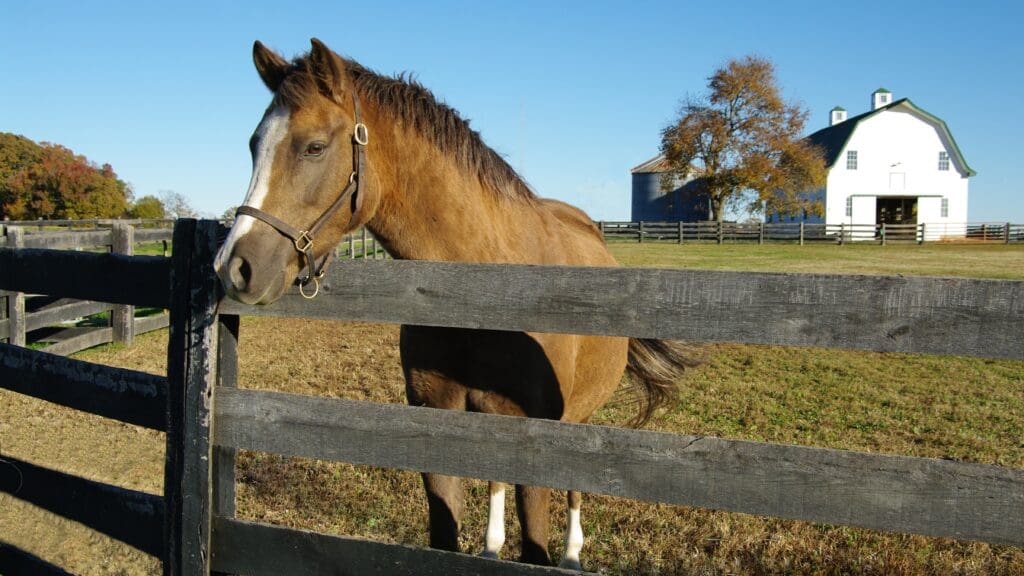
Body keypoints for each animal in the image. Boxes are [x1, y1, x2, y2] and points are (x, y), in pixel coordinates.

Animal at [215, 38, 696, 565]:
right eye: (254, 146)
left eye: (314, 146)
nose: (234, 267)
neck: (484, 291)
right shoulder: (438, 425)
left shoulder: (538, 444)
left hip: (577, 417)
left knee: (573, 487)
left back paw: (572, 551)